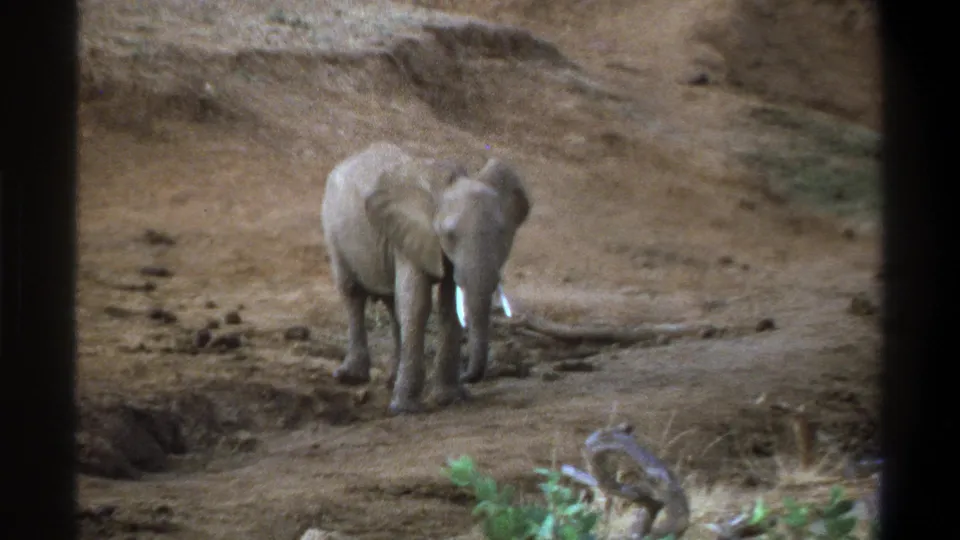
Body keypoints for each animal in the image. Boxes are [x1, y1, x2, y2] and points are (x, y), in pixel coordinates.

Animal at [320, 141, 532, 415]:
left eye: (502, 232)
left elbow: (448, 308)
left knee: (393, 305)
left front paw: (450, 398)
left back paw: (391, 379)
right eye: (450, 235)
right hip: (332, 225)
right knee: (352, 293)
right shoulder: (412, 232)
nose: (467, 376)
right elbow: (418, 304)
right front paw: (405, 409)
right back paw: (351, 377)